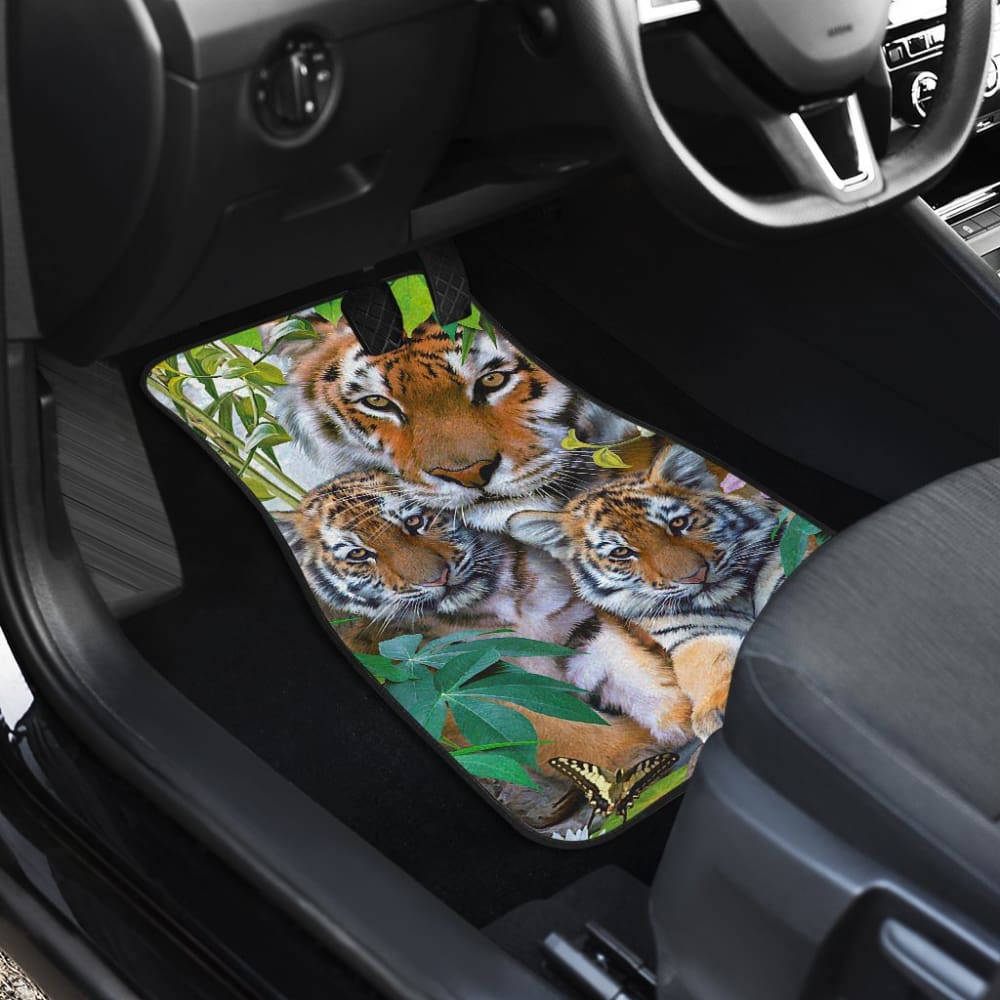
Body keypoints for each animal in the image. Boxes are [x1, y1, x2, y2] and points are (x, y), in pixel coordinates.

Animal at [273, 469, 665, 831]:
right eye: (359, 554)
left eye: (414, 521)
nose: (439, 578)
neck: (497, 602)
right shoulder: (457, 687)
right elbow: (554, 729)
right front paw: (634, 749)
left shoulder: (577, 623)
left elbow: (631, 670)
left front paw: (671, 718)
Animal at [508, 443, 784, 744]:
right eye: (621, 552)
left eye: (678, 523)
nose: (696, 575)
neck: (731, 597)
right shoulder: (695, 634)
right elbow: (708, 662)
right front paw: (717, 707)